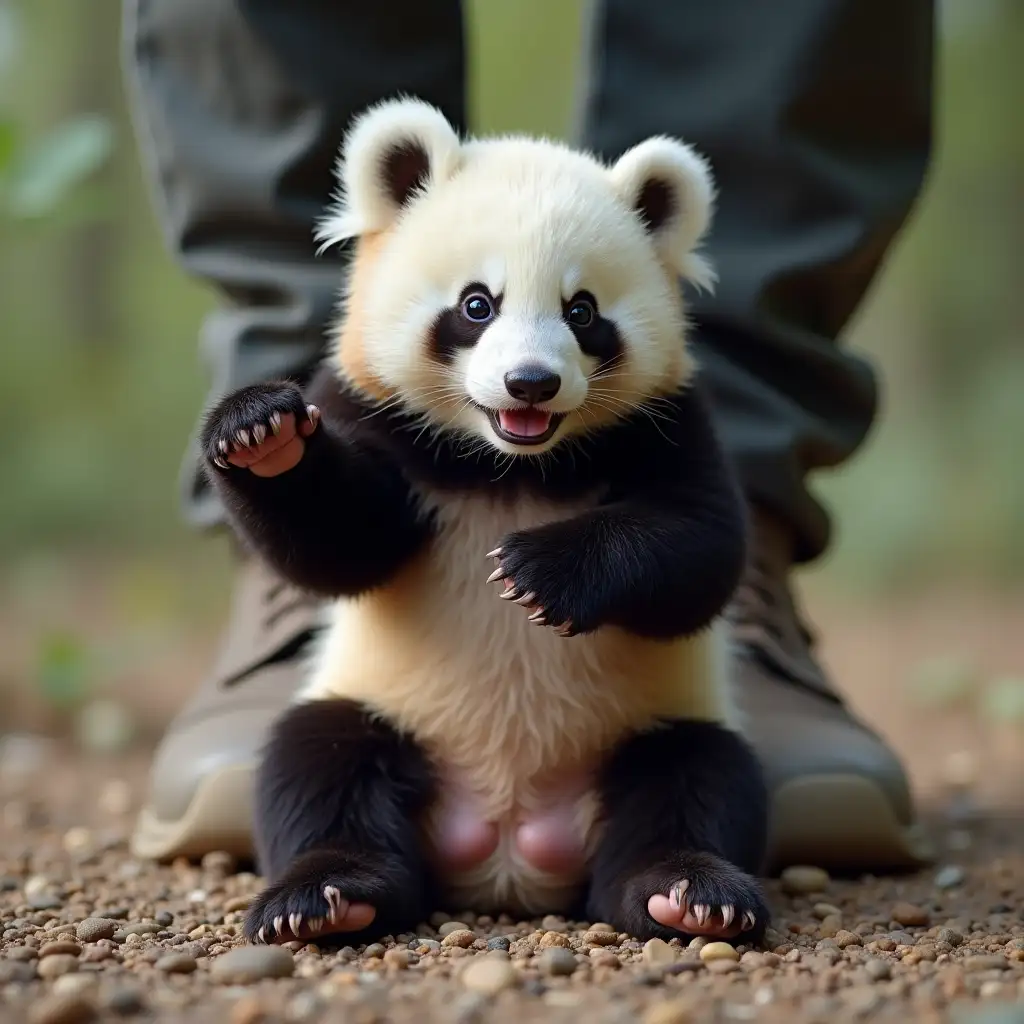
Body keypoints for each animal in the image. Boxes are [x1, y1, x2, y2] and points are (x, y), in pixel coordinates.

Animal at [201, 99, 770, 946]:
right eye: (477, 304)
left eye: (582, 311)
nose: (529, 383)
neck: (511, 465)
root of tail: (509, 846)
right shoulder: (370, 408)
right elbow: (340, 546)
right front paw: (263, 434)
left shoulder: (665, 418)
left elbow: (702, 549)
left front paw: (538, 572)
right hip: (386, 705)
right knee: (318, 764)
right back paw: (329, 896)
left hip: (647, 721)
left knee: (697, 779)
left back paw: (688, 891)